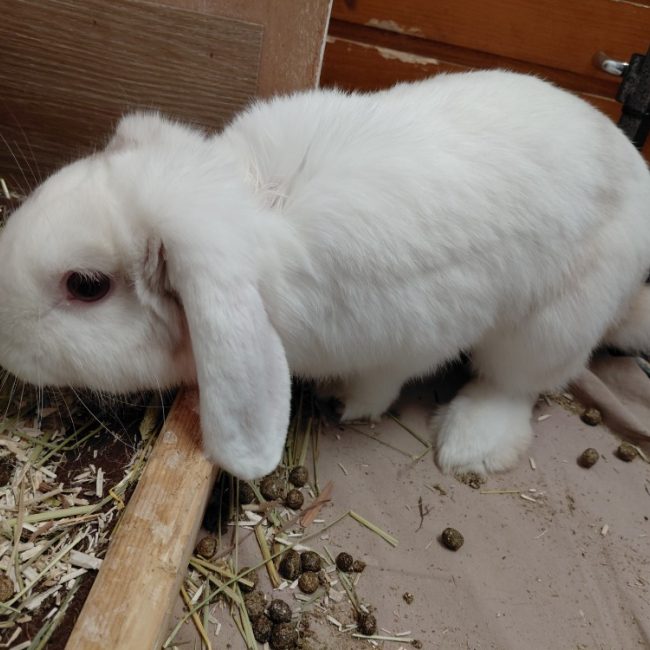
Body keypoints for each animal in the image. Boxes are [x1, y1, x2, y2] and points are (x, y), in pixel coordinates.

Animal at [1, 69, 649, 480]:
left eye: (86, 286)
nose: (3, 345)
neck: (254, 203)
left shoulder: (408, 335)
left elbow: (384, 381)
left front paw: (349, 403)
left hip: (551, 323)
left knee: (517, 383)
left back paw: (470, 446)